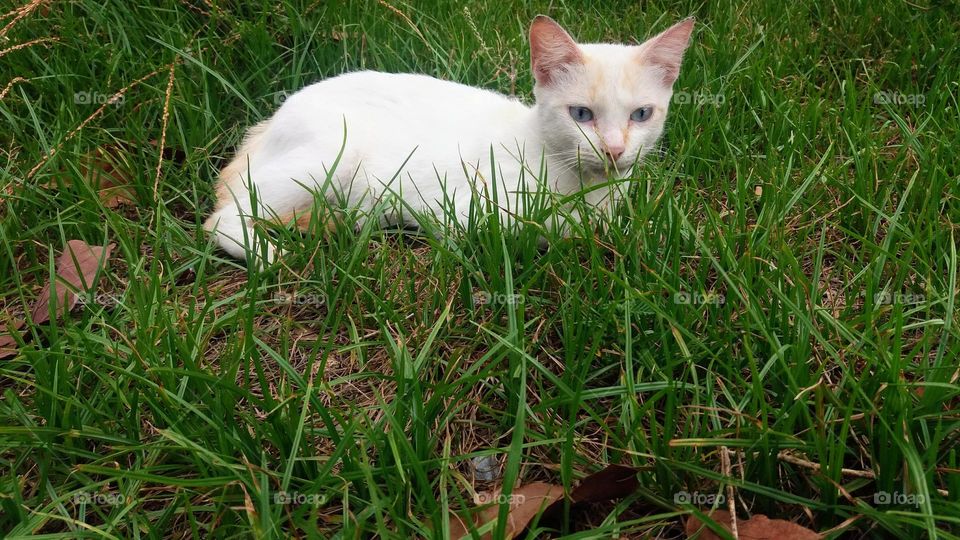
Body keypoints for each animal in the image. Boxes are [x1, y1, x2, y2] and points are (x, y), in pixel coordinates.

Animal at [206, 15, 692, 260]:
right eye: (582, 114)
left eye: (641, 114)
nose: (614, 150)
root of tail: (268, 122)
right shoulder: (466, 211)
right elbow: (551, 227)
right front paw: (600, 232)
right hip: (328, 157)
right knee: (221, 219)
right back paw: (270, 254)